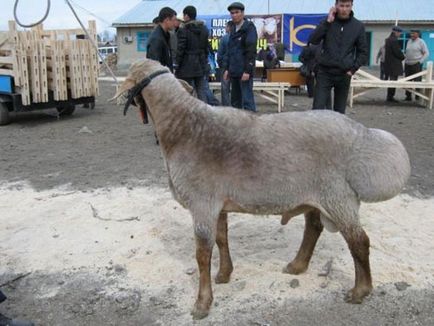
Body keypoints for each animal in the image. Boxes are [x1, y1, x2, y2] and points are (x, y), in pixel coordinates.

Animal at [113, 58, 412, 318]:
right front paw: (224, 275)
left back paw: (360, 291)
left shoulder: (202, 203)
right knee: (314, 228)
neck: (184, 127)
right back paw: (297, 266)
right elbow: (222, 239)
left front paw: (202, 303)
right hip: (317, 195)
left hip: (338, 196)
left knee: (359, 241)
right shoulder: (218, 204)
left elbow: (202, 255)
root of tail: (361, 135)